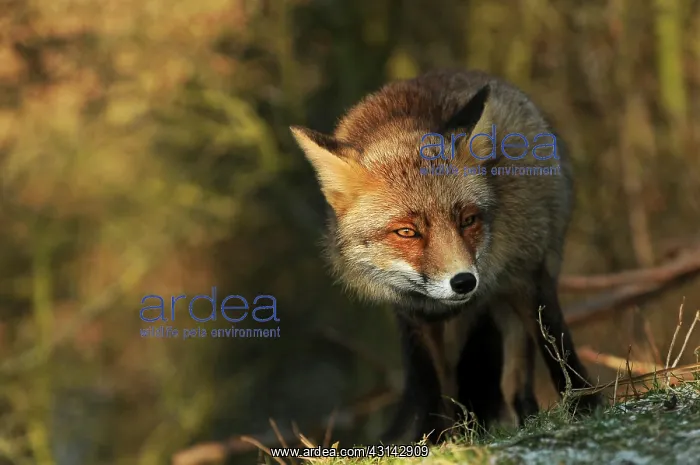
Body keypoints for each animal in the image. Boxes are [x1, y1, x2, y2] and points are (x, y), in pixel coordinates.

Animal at [290, 69, 601, 443]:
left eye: (467, 220)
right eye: (407, 232)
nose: (464, 282)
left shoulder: (527, 274)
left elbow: (558, 346)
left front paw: (586, 407)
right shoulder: (413, 315)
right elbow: (433, 390)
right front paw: (436, 441)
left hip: (511, 296)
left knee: (516, 372)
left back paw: (523, 416)